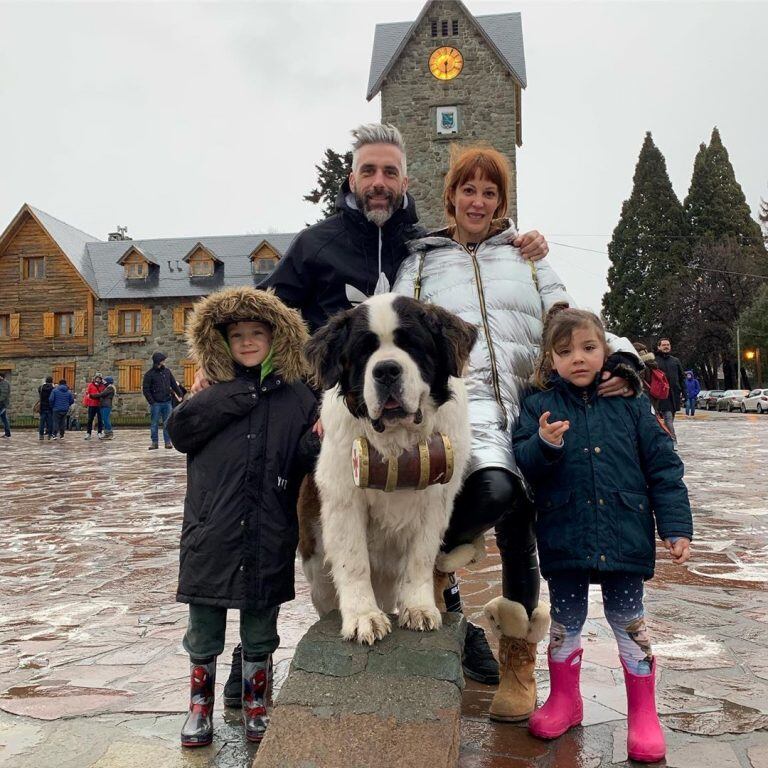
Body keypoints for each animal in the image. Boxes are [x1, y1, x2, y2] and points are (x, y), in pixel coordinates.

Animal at [304, 292, 476, 640]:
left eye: (412, 344)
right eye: (363, 352)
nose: (385, 370)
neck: (398, 444)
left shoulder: (435, 500)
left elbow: (421, 557)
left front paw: (419, 608)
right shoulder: (344, 498)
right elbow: (353, 560)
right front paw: (363, 617)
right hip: (316, 565)